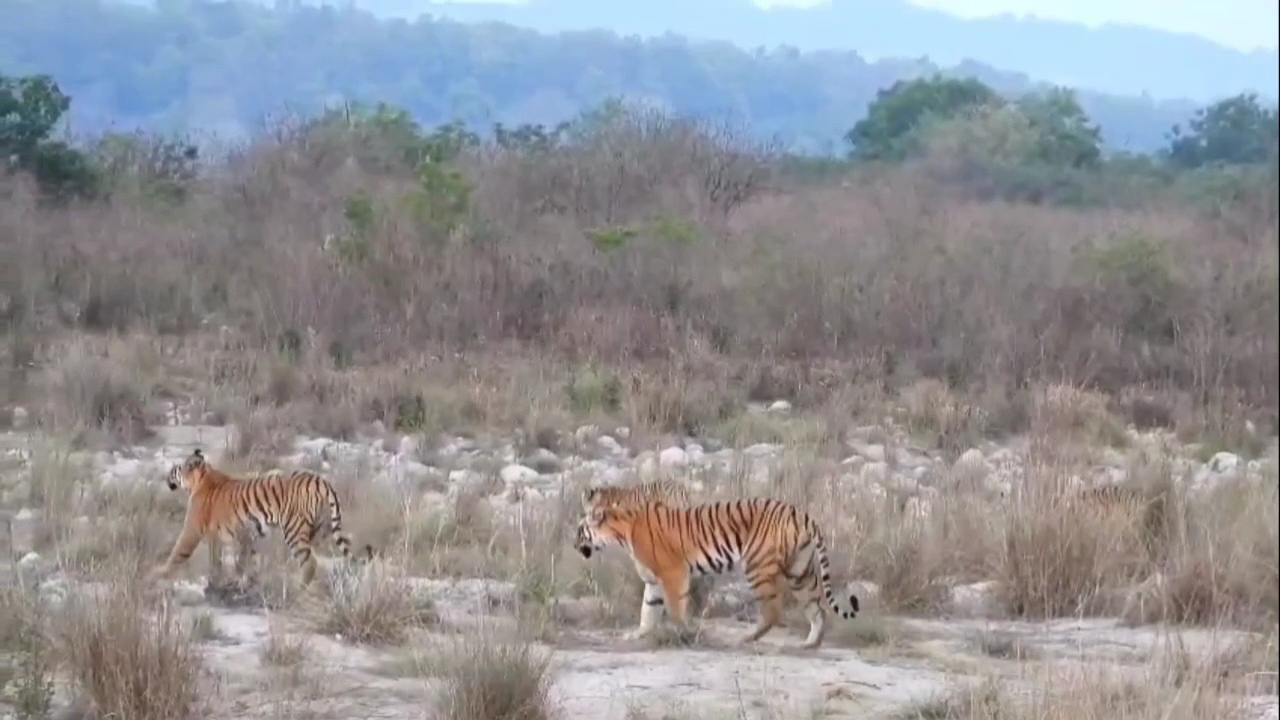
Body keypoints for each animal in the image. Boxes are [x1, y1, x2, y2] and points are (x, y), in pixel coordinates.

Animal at [147, 448, 374, 589]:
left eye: (175, 469)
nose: (168, 476)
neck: (201, 479)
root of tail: (322, 481)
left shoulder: (195, 530)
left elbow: (180, 552)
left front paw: (158, 573)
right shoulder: (244, 535)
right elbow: (244, 561)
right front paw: (243, 582)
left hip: (294, 530)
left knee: (310, 563)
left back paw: (298, 589)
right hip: (320, 530)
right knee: (323, 559)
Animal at [575, 497, 860, 650]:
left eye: (580, 531)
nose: (574, 543)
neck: (621, 533)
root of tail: (802, 515)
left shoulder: (673, 572)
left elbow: (675, 608)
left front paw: (684, 633)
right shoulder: (653, 580)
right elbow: (648, 610)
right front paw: (636, 634)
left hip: (758, 566)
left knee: (773, 611)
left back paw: (746, 638)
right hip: (799, 572)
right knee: (818, 609)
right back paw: (810, 643)